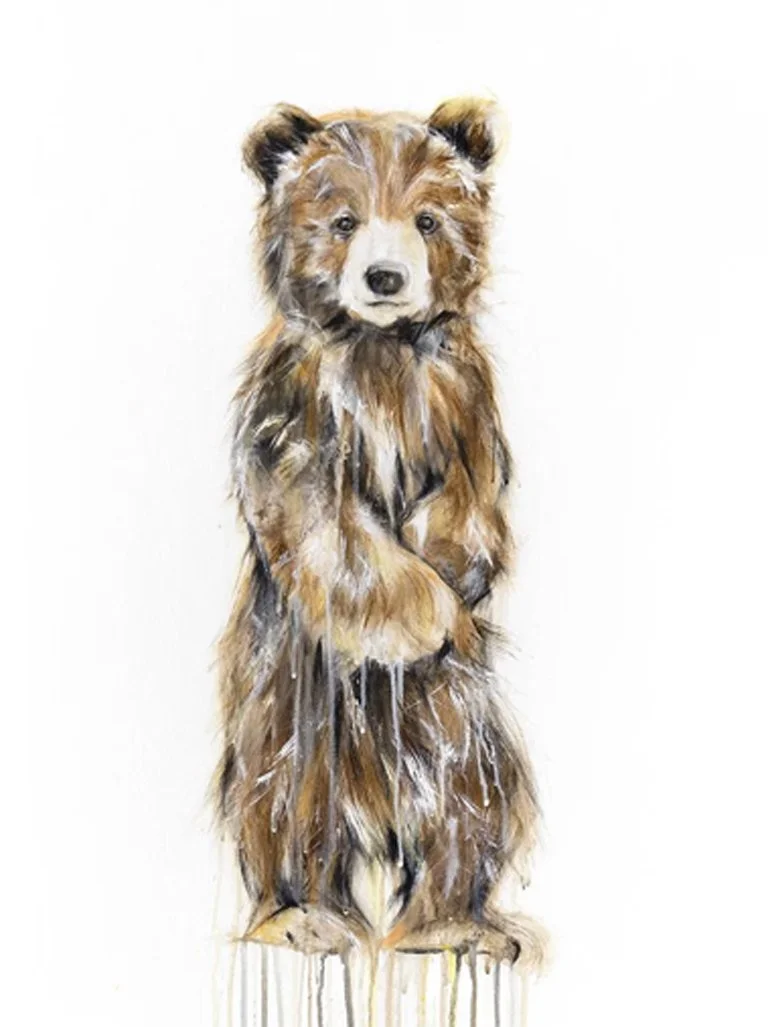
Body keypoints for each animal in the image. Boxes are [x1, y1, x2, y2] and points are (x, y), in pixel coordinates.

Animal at [216, 98, 546, 969]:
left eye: (428, 217)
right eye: (342, 220)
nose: (386, 276)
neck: (380, 347)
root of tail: (371, 815)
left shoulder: (458, 398)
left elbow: (471, 502)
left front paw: (453, 577)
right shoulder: (300, 410)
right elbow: (325, 529)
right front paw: (423, 616)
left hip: (459, 728)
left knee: (471, 802)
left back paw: (453, 924)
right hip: (290, 714)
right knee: (279, 804)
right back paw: (301, 915)